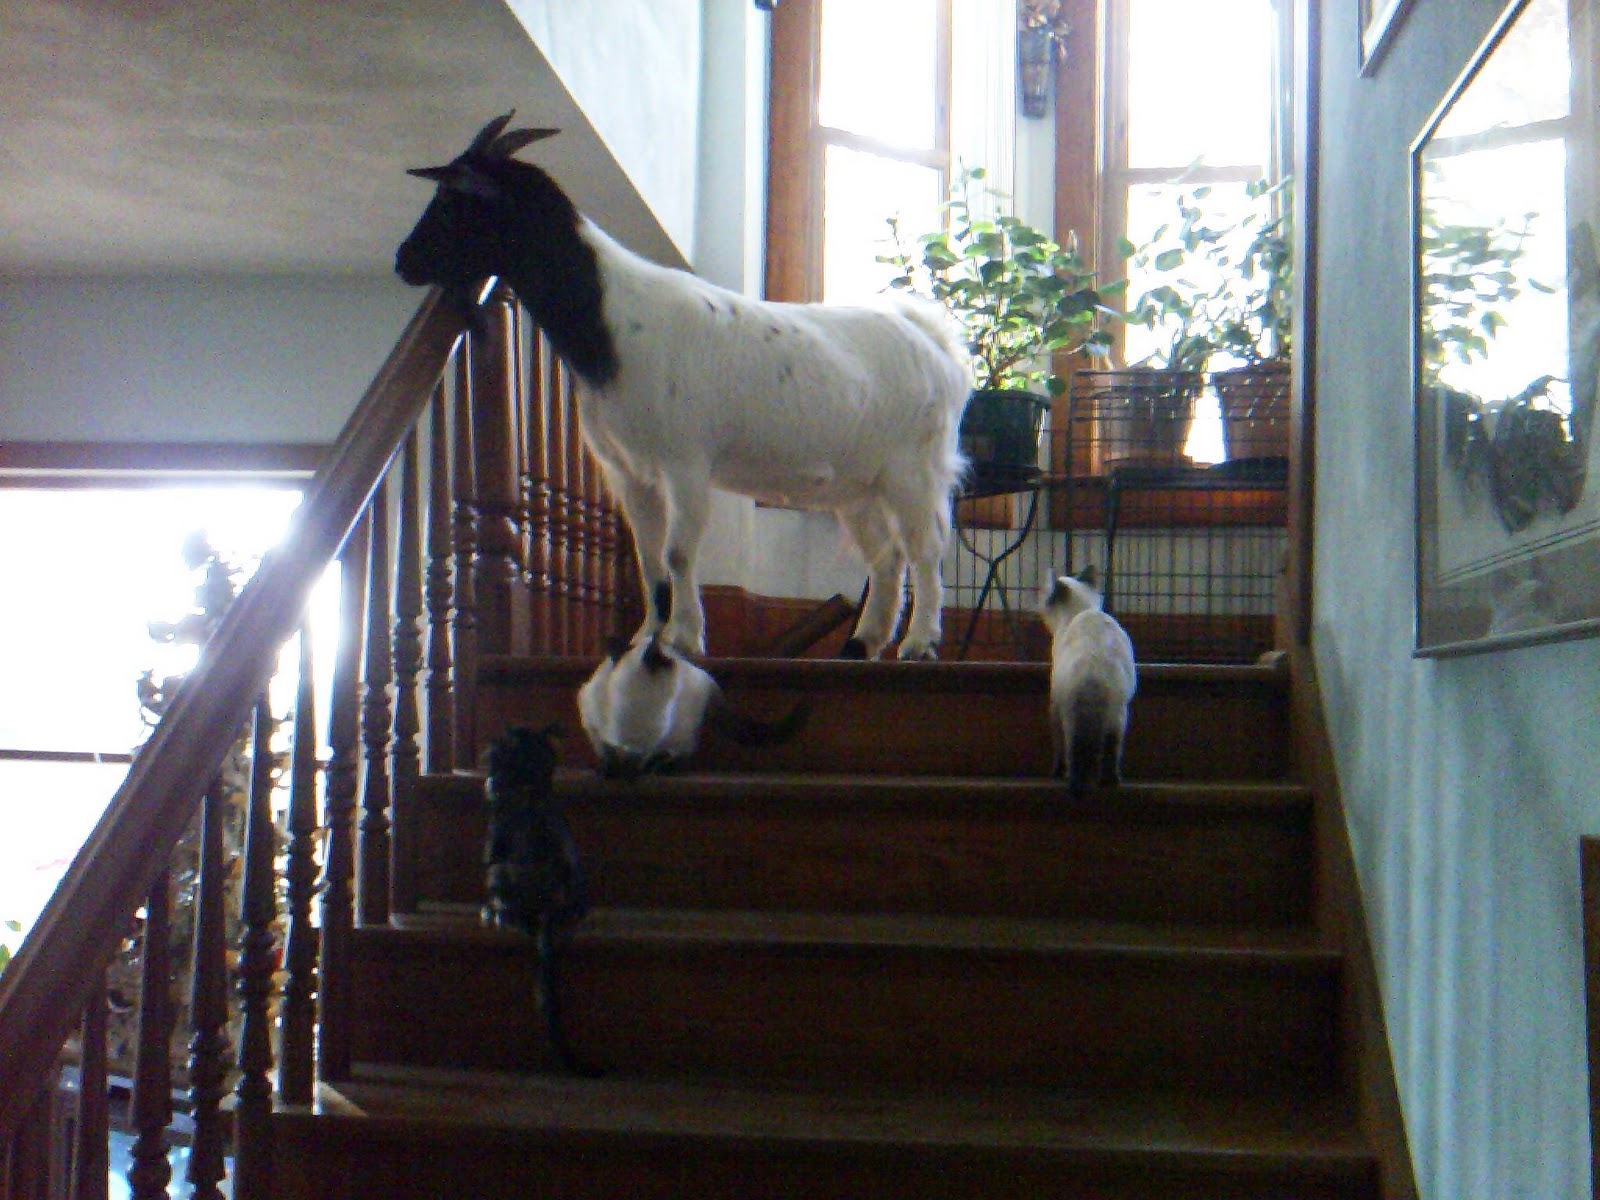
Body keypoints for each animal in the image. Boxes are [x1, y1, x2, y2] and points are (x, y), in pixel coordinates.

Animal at [396, 112, 972, 659]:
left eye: (451, 200)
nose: (403, 262)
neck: (612, 321)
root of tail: (934, 341)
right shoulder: (631, 471)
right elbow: (650, 558)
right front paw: (646, 638)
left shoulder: (686, 460)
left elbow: (678, 552)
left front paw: (684, 638)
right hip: (857, 484)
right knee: (887, 554)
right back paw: (864, 643)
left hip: (913, 467)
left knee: (926, 549)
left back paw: (920, 643)